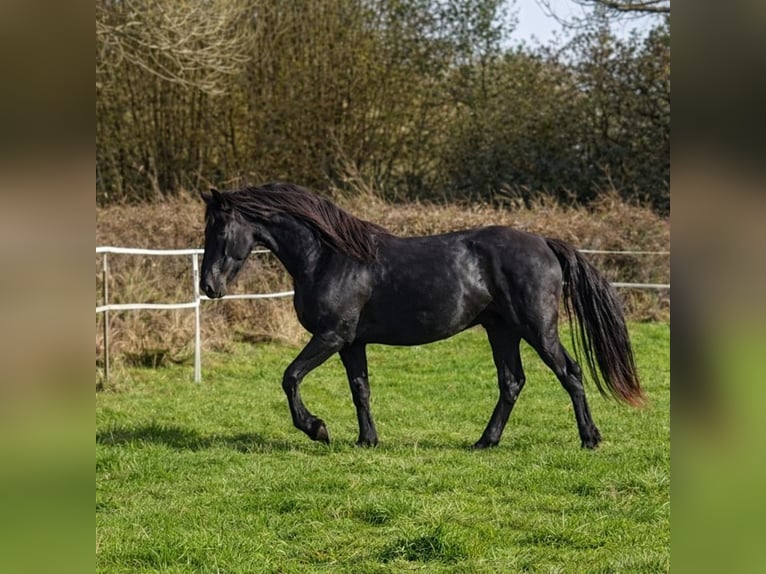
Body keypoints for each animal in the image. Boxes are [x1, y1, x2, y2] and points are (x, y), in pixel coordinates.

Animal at [199, 182, 643, 449]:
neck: (327, 257)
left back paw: (590, 438)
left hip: (537, 328)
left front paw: (317, 429)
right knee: (512, 382)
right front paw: (367, 440)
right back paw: (485, 441)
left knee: (570, 373)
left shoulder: (331, 336)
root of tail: (545, 243)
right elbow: (360, 389)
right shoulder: (351, 342)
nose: (208, 286)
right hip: (502, 330)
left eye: (219, 230)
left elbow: (290, 377)